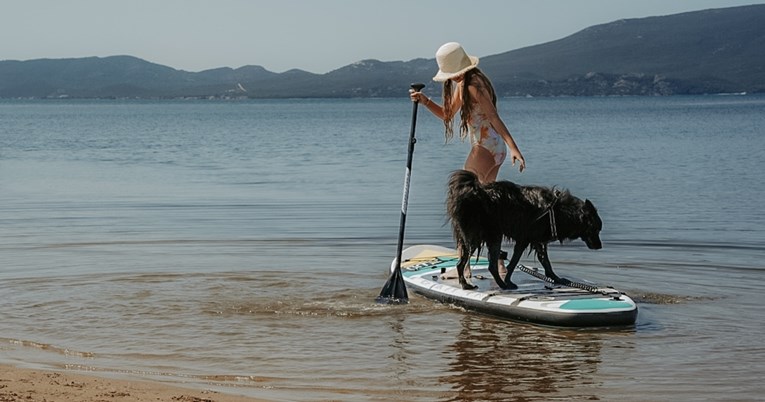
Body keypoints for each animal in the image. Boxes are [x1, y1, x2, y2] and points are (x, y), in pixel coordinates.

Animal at [444, 169, 600, 288]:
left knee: (464, 263)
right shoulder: (524, 240)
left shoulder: (536, 242)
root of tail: (474, 193)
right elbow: (514, 263)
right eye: (596, 229)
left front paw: (556, 279)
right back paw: (497, 285)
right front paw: (508, 281)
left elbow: (545, 262)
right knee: (484, 265)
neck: (558, 211)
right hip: (485, 237)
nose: (599, 246)